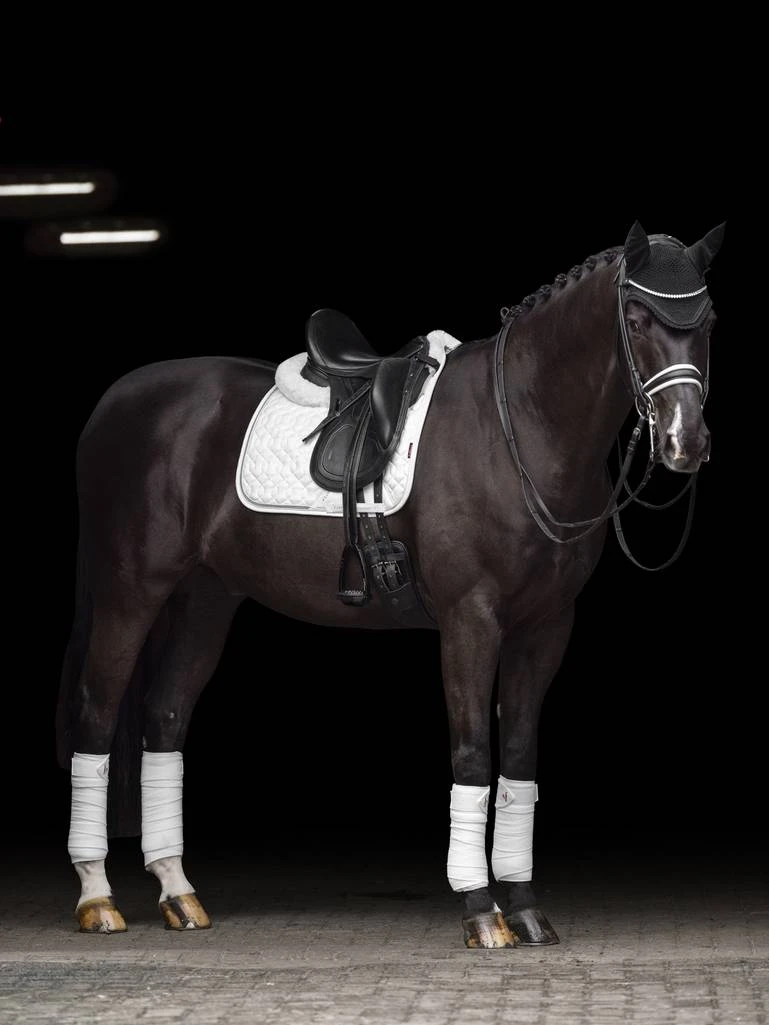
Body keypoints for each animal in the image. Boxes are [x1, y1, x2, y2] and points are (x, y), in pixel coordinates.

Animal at [56, 219, 724, 946]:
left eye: (708, 320)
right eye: (635, 317)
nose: (685, 441)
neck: (517, 426)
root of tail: (114, 403)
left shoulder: (546, 625)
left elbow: (518, 760)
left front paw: (523, 906)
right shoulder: (470, 619)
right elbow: (472, 753)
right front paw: (482, 909)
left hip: (206, 599)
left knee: (164, 719)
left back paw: (179, 892)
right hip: (131, 591)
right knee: (95, 715)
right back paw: (98, 898)